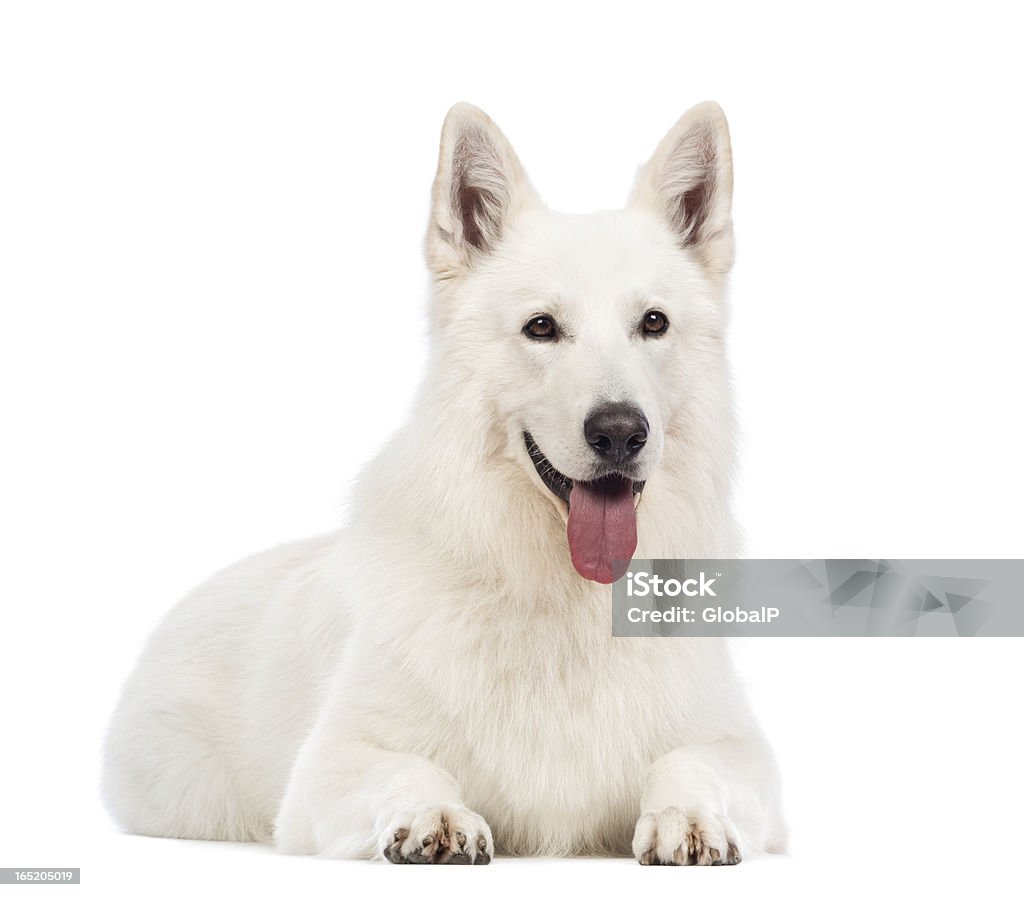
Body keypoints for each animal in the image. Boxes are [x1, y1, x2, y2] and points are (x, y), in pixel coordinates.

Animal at [101, 101, 782, 864]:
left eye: (654, 322)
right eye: (541, 327)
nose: (618, 432)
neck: (560, 595)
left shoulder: (742, 750)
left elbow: (691, 761)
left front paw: (685, 815)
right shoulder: (328, 766)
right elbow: (411, 766)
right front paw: (434, 813)